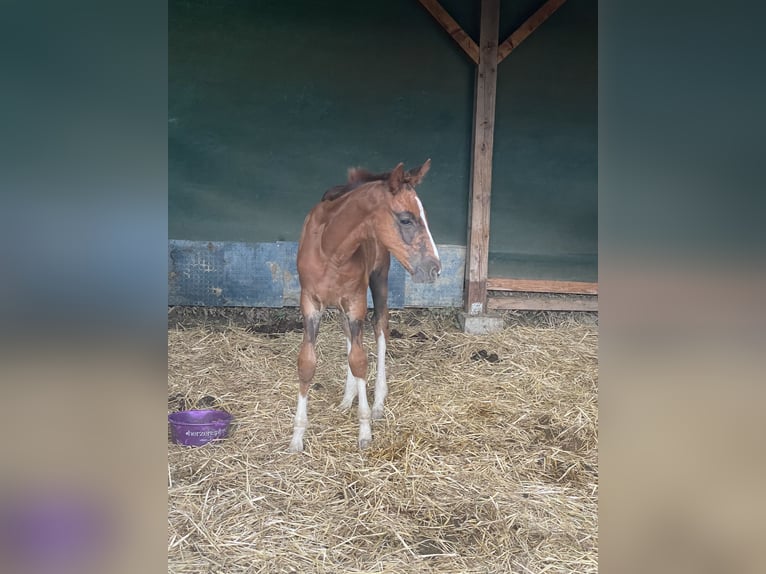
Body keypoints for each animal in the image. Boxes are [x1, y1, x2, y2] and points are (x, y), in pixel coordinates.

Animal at [288, 159, 441, 452]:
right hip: (340, 304)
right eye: (406, 219)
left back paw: (378, 401)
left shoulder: (356, 299)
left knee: (381, 327)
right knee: (350, 335)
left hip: (378, 278)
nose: (434, 269)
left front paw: (365, 429)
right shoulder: (310, 302)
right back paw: (348, 398)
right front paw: (297, 436)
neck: (330, 248)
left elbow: (360, 361)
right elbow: (307, 363)